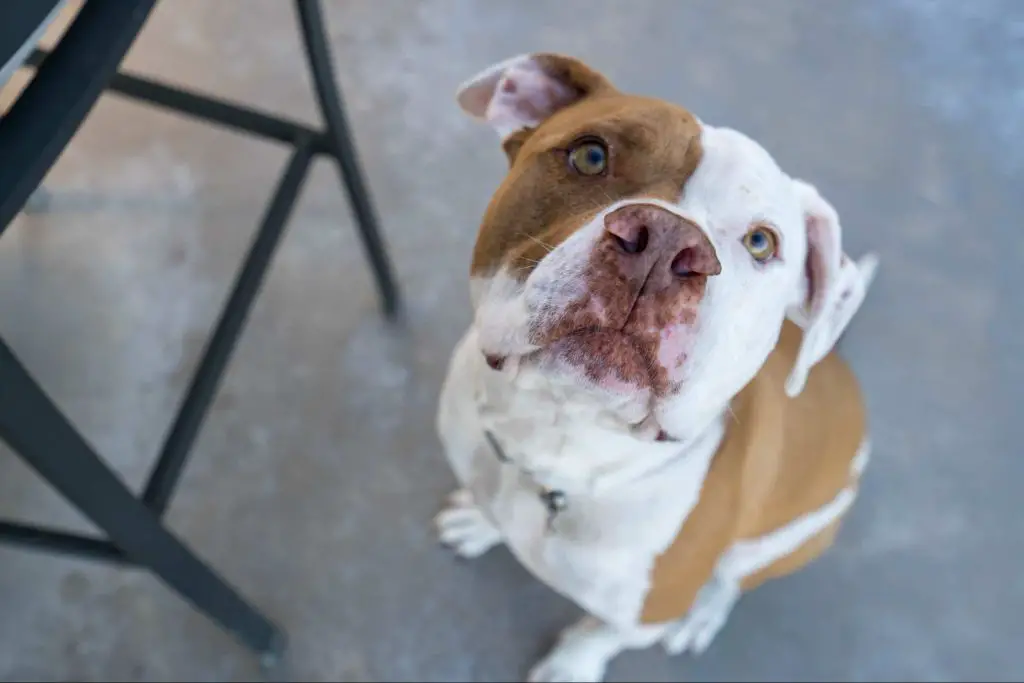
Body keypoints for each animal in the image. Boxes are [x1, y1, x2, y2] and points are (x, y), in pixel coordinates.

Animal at [432, 54, 880, 683]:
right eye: (590, 156)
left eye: (761, 242)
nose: (667, 241)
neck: (558, 447)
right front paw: (479, 521)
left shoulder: (647, 613)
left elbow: (600, 635)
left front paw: (570, 667)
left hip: (787, 539)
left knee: (732, 578)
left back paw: (703, 616)